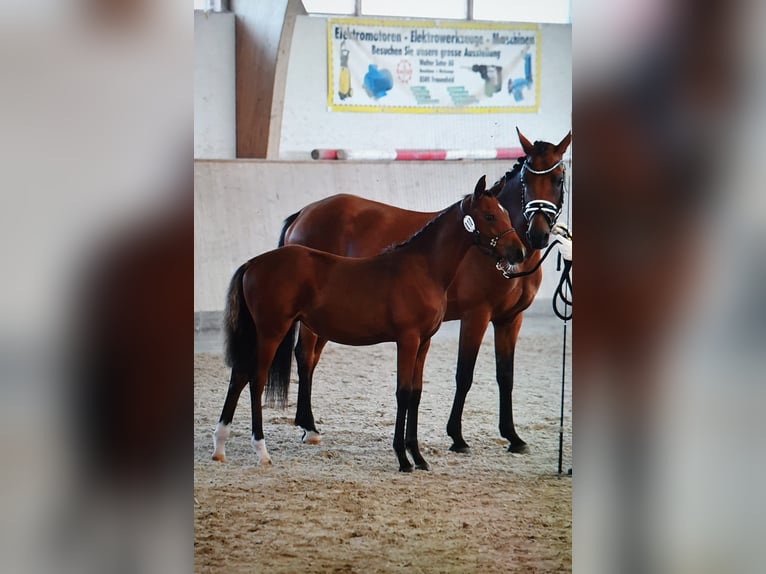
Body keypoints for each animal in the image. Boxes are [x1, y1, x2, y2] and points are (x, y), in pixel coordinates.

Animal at [213, 177, 524, 472]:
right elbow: (403, 393)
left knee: (239, 376)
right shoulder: (408, 340)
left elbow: (416, 394)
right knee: (256, 380)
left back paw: (220, 447)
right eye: (489, 216)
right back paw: (262, 451)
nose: (518, 252)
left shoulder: (424, 342)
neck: (424, 269)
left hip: (259, 333)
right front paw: (403, 458)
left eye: (506, 213)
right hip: (271, 332)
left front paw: (418, 457)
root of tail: (253, 263)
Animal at [280, 129, 568, 454]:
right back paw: (308, 426)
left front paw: (513, 436)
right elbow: (464, 375)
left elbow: (505, 376)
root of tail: (304, 213)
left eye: (558, 178)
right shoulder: (476, 316)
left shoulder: (510, 319)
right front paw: (457, 437)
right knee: (305, 356)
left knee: (312, 358)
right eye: (526, 180)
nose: (538, 234)